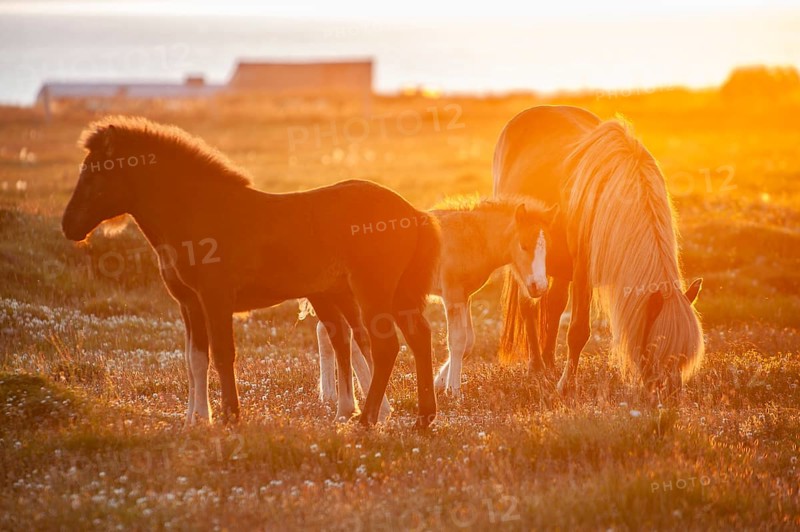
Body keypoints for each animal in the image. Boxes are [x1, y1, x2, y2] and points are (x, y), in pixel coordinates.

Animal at [61, 116, 441, 427]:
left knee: (385, 346)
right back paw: (420, 418)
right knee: (417, 337)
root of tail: (413, 213)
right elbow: (195, 358)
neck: (197, 212)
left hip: (372, 291)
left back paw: (367, 420)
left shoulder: (215, 299)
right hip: (389, 294)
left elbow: (222, 353)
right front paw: (196, 419)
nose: (69, 225)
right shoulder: (189, 304)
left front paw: (230, 416)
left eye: (97, 171)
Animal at [314, 195, 557, 407]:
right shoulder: (453, 295)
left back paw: (331, 395)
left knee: (327, 330)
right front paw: (453, 391)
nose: (539, 286)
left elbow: (468, 342)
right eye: (524, 245)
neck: (473, 237)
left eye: (548, 248)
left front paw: (438, 383)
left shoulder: (465, 297)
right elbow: (457, 341)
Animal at [494, 105, 704, 400]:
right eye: (656, 351)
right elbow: (578, 332)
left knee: (554, 306)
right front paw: (566, 386)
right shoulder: (583, 273)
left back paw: (549, 364)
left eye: (684, 358)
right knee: (529, 307)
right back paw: (536, 368)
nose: (670, 399)